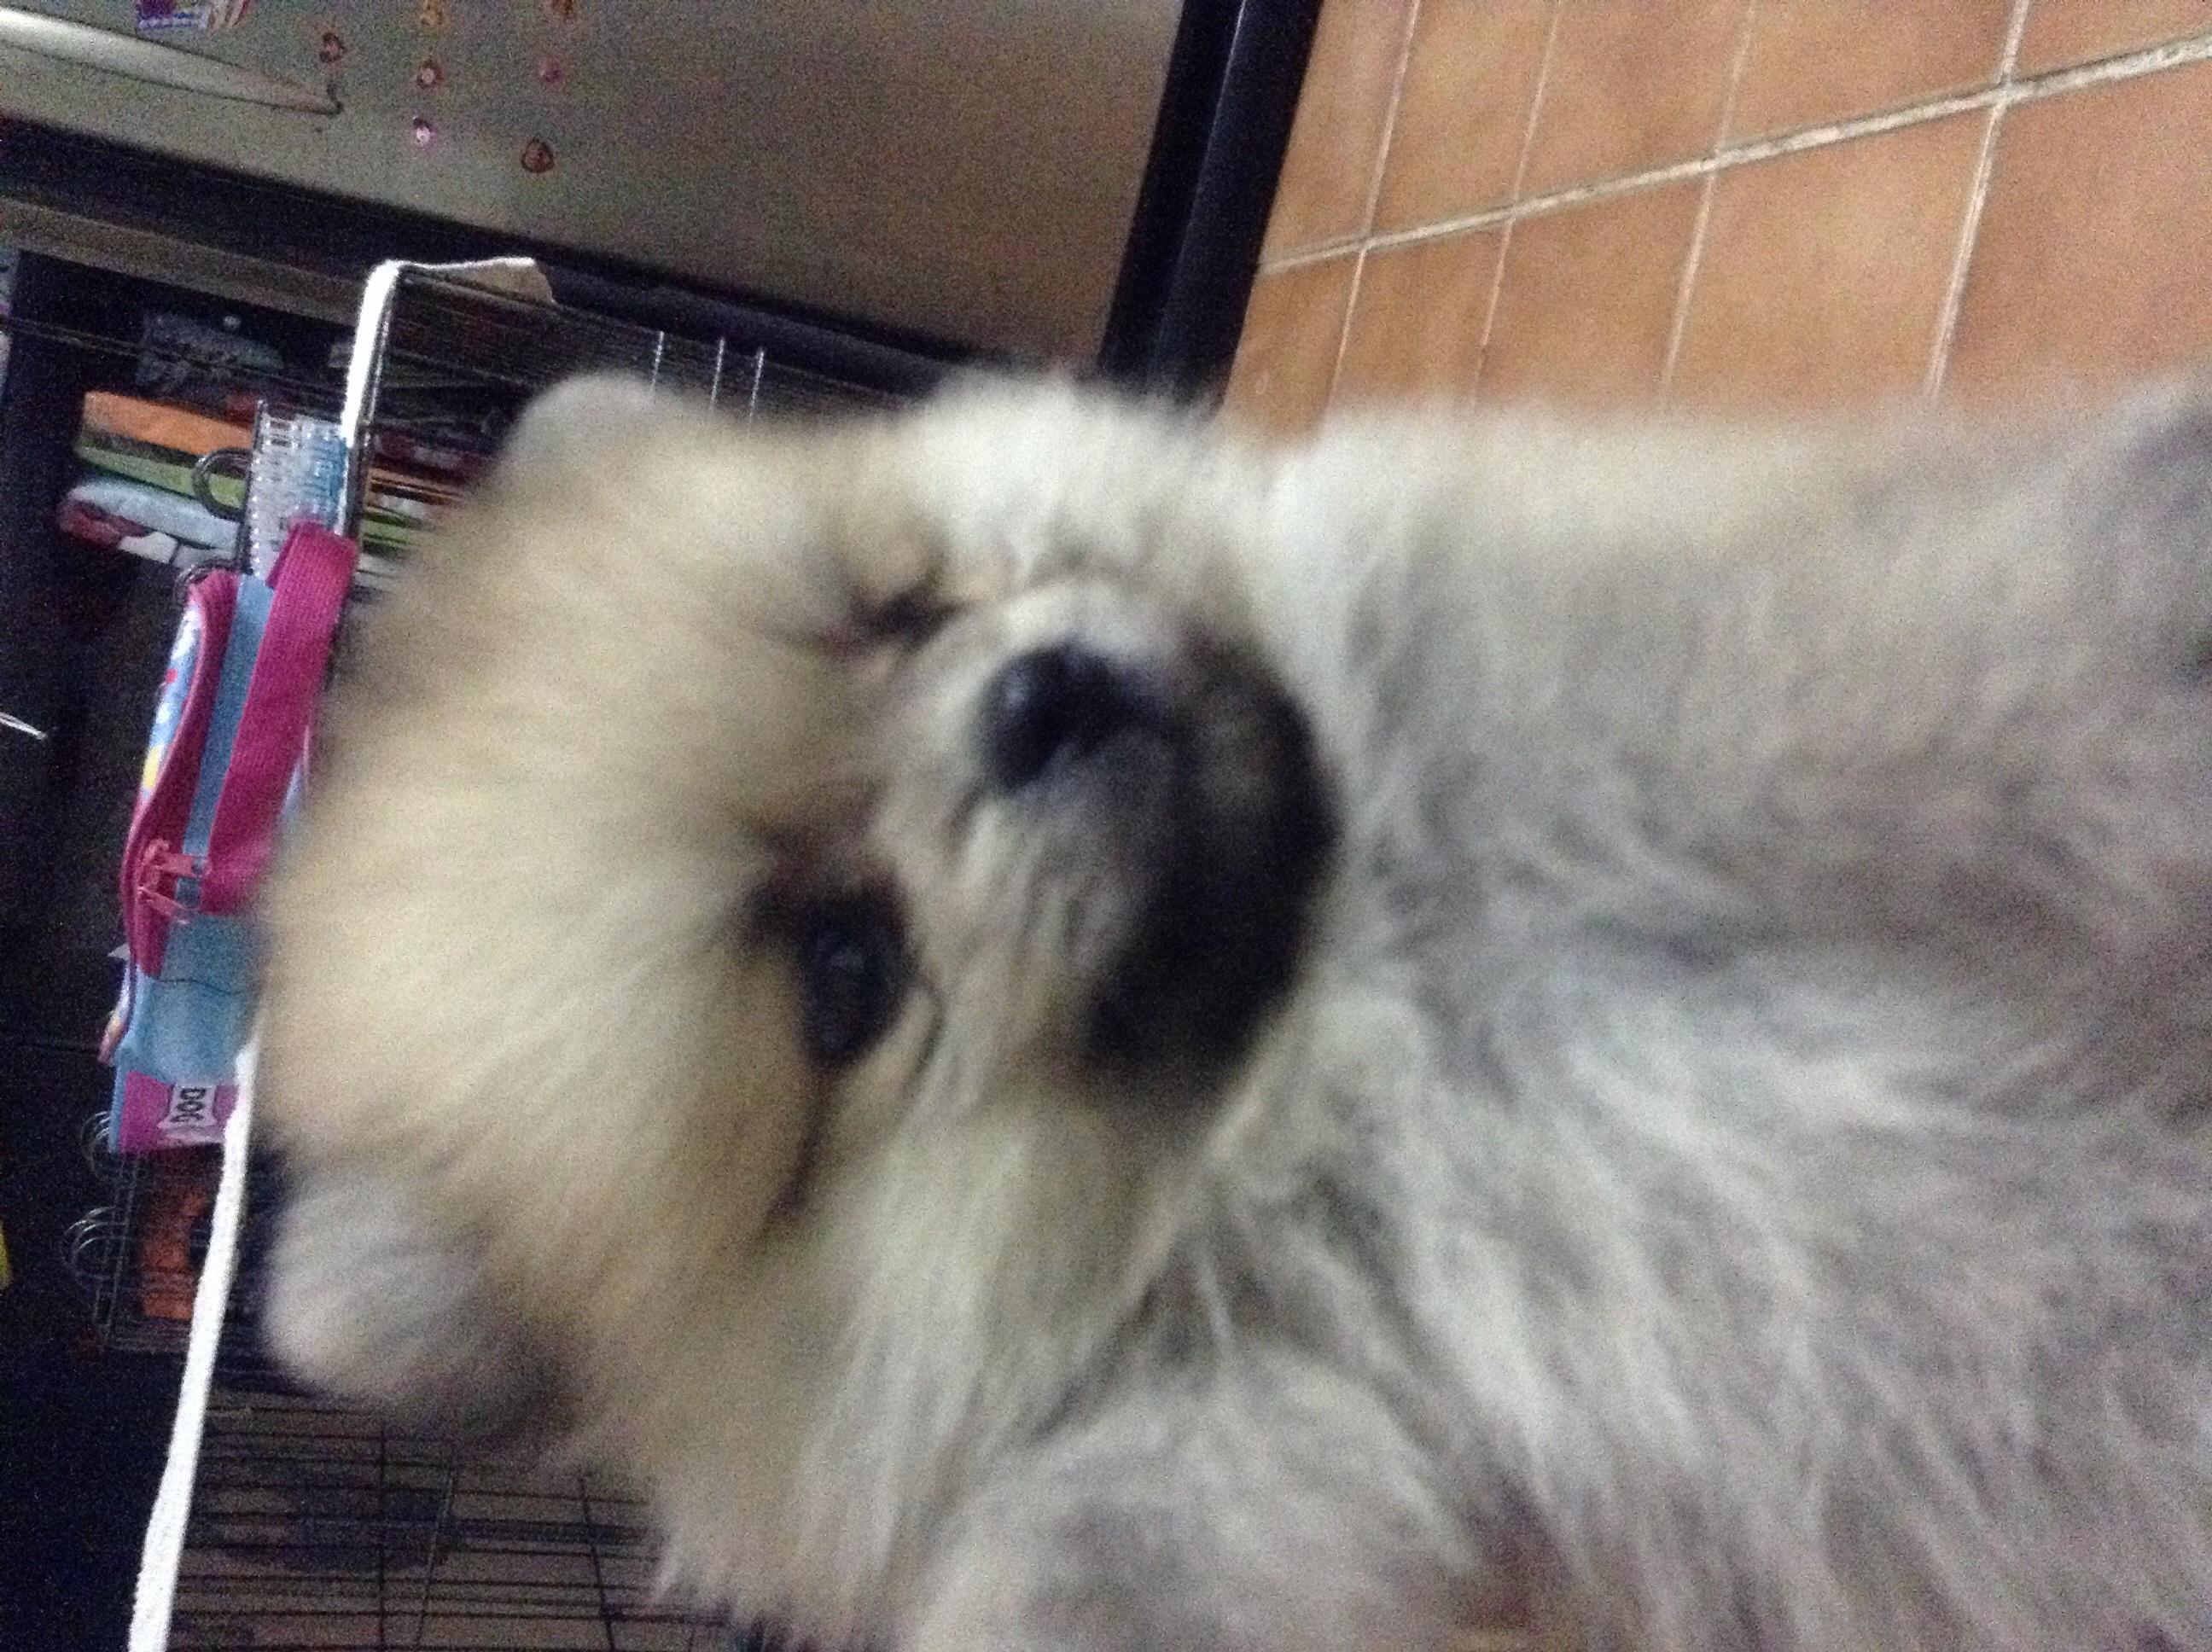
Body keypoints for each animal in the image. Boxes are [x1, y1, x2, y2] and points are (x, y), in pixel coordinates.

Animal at [256, 372, 2212, 1651]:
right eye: (844, 974)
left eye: (905, 610)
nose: (1038, 701)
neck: (1321, 1032)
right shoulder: (1237, 1430)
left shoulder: (1626, 704)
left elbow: (1984, 663)